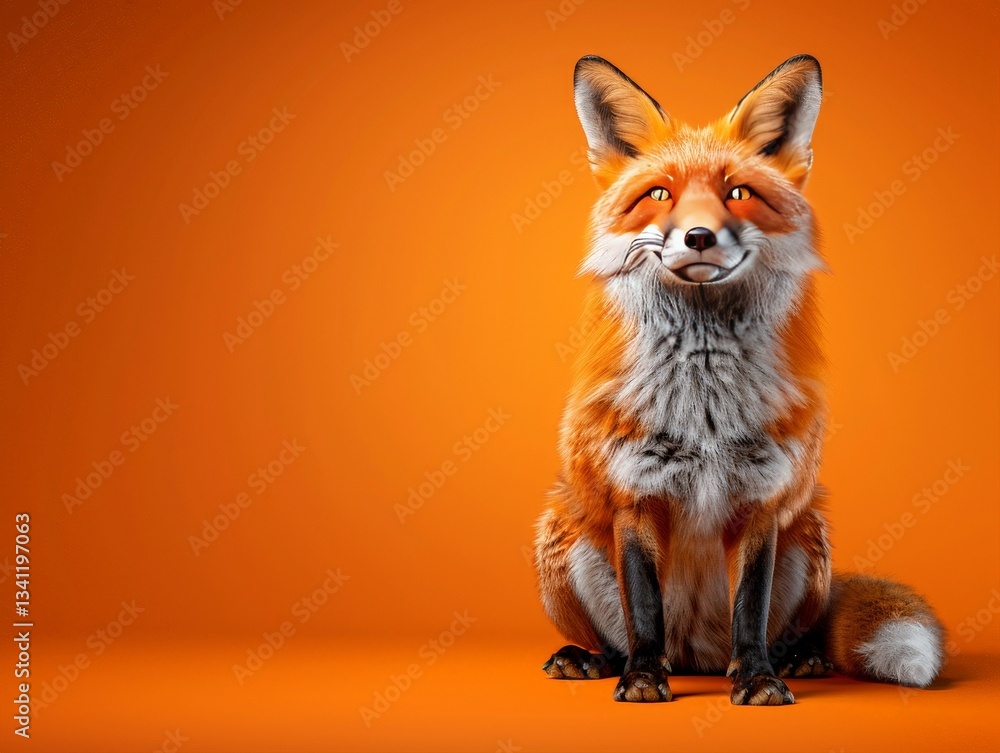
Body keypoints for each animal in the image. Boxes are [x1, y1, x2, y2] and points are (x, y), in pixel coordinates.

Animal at [533, 54, 945, 705]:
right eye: (659, 194)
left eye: (739, 193)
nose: (698, 236)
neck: (703, 406)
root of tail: (695, 656)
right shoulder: (634, 495)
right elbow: (643, 608)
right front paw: (643, 678)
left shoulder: (762, 500)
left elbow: (749, 608)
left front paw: (757, 680)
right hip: (560, 531)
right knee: (626, 637)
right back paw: (597, 659)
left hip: (809, 539)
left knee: (779, 631)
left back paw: (793, 659)